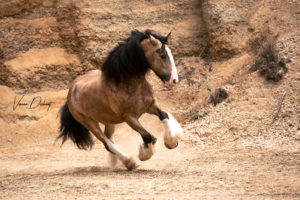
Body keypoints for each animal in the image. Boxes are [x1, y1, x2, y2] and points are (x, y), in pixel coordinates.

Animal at [56, 29, 183, 170]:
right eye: (162, 55)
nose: (174, 81)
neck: (127, 84)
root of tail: (72, 88)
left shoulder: (151, 105)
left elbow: (164, 116)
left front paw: (172, 142)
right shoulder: (129, 117)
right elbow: (147, 136)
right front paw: (144, 155)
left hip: (109, 121)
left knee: (109, 139)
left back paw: (117, 161)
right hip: (89, 122)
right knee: (107, 143)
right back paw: (130, 162)